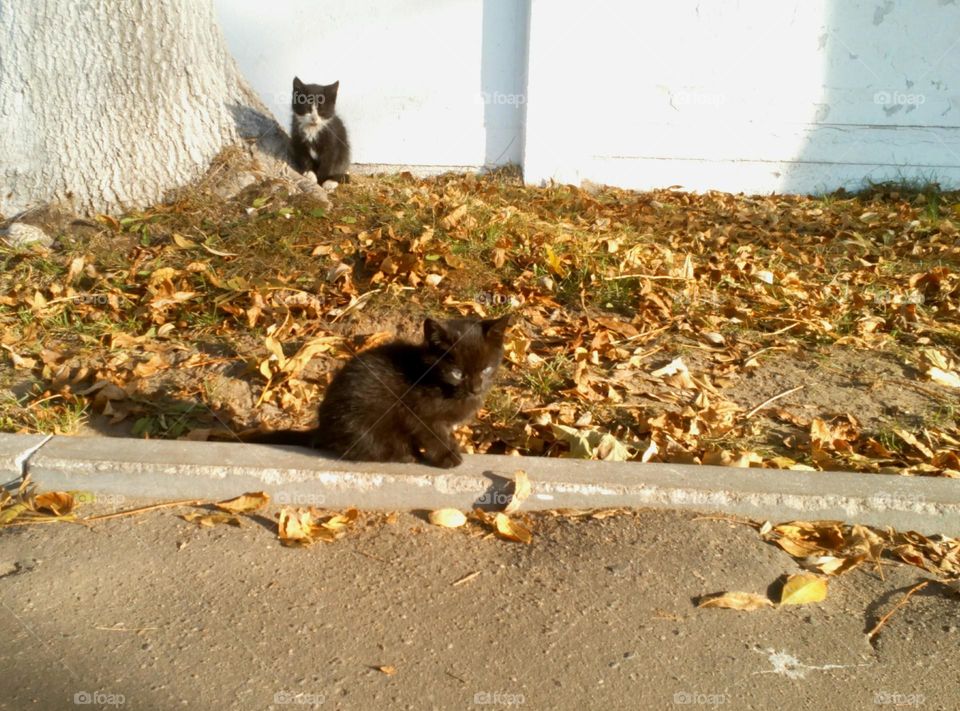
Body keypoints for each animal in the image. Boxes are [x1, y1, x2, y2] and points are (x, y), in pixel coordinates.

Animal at [253, 316, 510, 468]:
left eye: (486, 369)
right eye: (457, 373)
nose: (476, 388)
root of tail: (323, 429)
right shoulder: (418, 414)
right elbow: (434, 436)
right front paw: (448, 457)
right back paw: (404, 455)